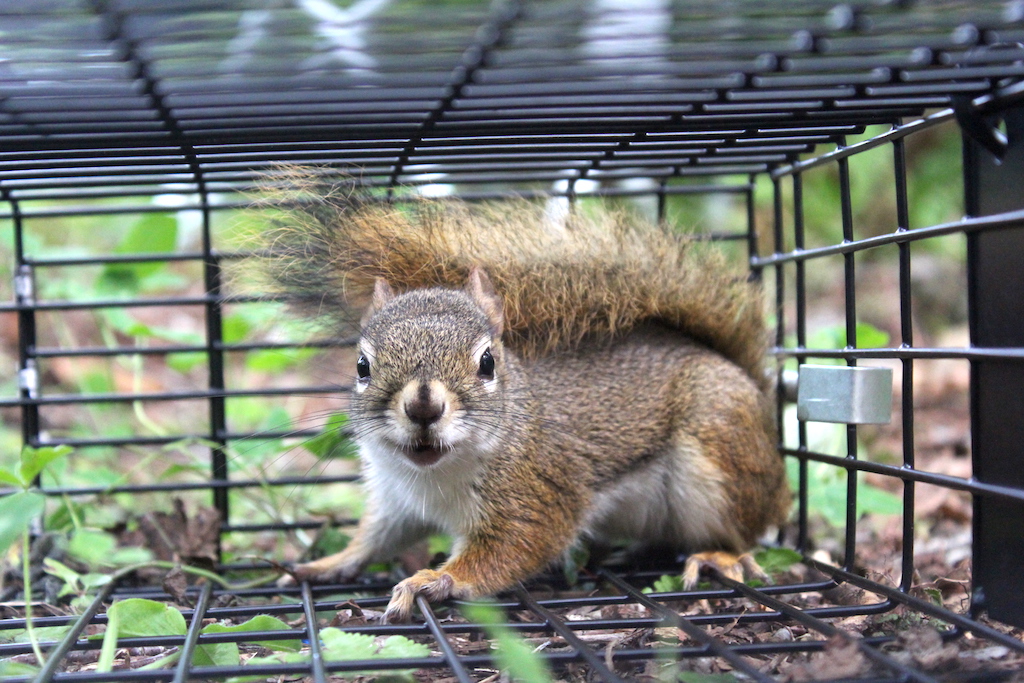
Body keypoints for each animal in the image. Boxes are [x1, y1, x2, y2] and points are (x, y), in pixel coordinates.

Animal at [258, 169, 790, 626]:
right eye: (362, 367)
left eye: (488, 362)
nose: (424, 407)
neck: (435, 477)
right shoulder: (395, 497)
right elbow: (375, 538)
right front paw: (328, 562)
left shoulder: (539, 491)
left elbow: (514, 546)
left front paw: (433, 579)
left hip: (720, 450)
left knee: (747, 531)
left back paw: (719, 554)